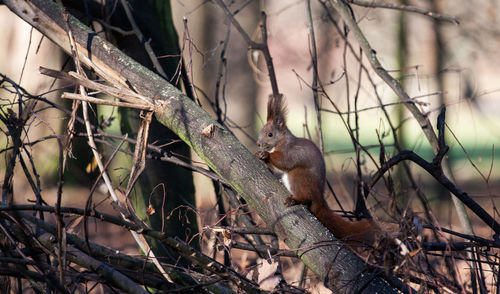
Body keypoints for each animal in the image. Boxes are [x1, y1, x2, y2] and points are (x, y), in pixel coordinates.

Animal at [256, 93, 384, 250]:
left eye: (270, 134)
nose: (258, 144)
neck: (282, 142)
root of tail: (319, 197)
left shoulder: (291, 152)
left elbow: (284, 162)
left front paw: (265, 155)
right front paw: (261, 155)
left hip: (298, 177)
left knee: (306, 197)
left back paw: (295, 199)